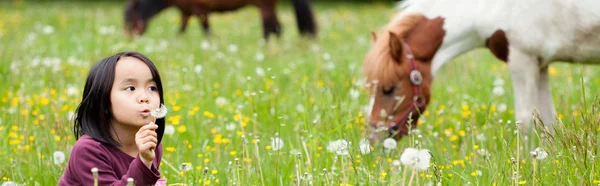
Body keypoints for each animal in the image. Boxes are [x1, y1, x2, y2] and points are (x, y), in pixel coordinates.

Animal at [364, 0, 600, 140]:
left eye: (388, 89)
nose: (373, 141)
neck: (488, 8)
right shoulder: (540, 64)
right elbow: (547, 123)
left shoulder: (522, 59)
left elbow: (525, 121)